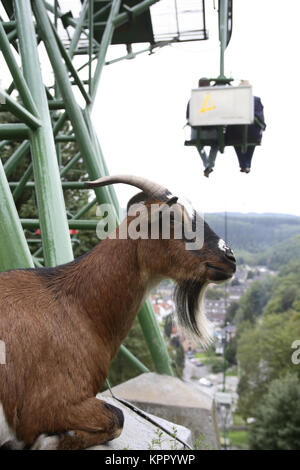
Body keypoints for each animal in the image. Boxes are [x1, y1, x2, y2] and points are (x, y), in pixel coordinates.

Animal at [0, 175, 237, 448]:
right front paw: (52, 441)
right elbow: (118, 417)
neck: (76, 308)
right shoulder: (45, 405)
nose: (230, 258)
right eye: (172, 218)